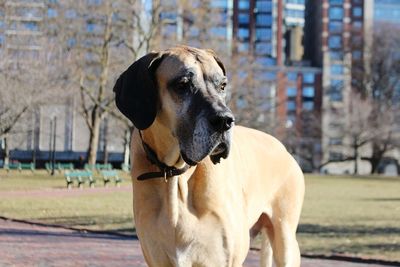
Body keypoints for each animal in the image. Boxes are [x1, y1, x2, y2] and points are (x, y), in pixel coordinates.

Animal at [112, 45, 304, 266]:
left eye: (222, 85)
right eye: (182, 85)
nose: (225, 121)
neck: (175, 176)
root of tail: (282, 147)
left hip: (285, 239)